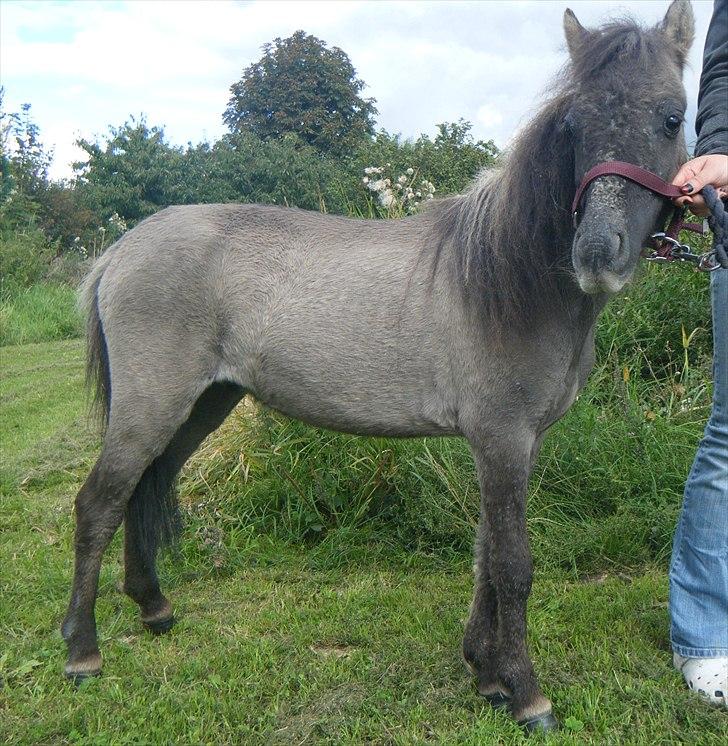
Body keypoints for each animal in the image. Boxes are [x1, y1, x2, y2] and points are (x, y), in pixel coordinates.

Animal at [62, 1, 692, 732]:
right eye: (573, 126)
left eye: (670, 117)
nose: (595, 253)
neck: (509, 278)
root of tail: (120, 249)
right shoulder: (501, 438)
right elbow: (512, 564)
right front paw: (526, 692)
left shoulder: (512, 445)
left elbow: (484, 555)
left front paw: (485, 673)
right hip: (151, 406)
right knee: (100, 502)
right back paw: (82, 651)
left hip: (202, 405)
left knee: (146, 485)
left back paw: (154, 608)